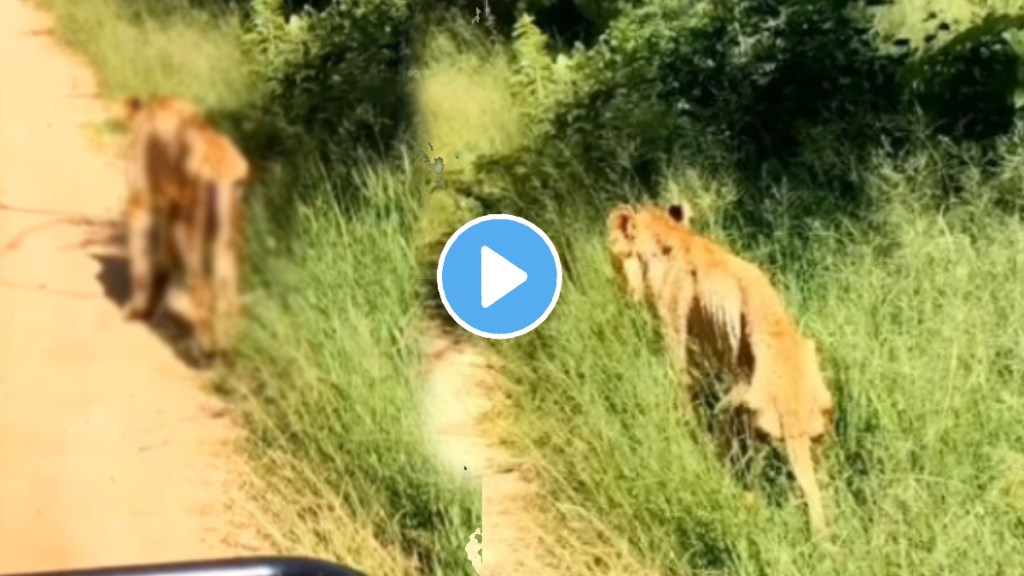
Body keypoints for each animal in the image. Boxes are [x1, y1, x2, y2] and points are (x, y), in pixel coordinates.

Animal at [122, 95, 249, 356]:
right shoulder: (172, 211)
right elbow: (164, 260)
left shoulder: (142, 206)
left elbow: (140, 263)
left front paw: (137, 309)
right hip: (226, 245)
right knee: (229, 300)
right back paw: (228, 347)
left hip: (191, 237)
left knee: (203, 291)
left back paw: (205, 347)